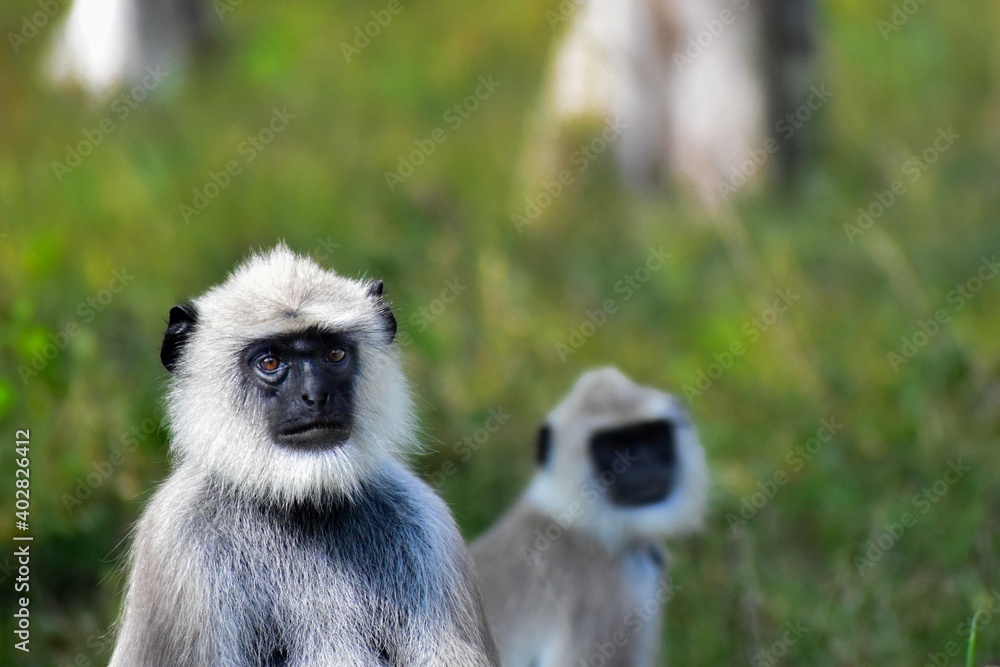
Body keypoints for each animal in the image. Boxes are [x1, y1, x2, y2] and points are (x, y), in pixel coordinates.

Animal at [109, 245, 499, 666]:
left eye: (335, 354)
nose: (315, 396)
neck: (301, 503)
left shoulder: (425, 524)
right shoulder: (177, 542)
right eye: (270, 362)